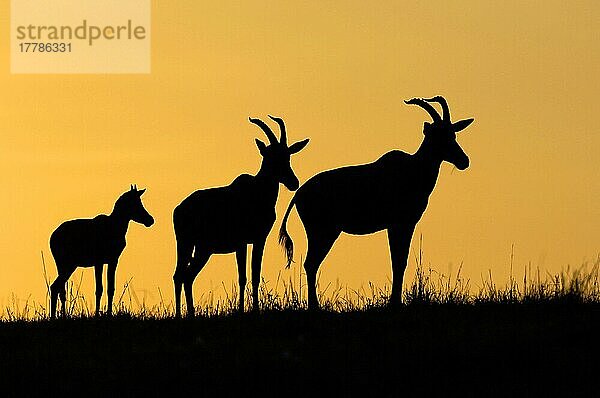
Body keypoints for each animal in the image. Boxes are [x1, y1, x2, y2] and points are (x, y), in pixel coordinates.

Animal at [49, 185, 155, 318]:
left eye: (140, 201)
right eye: (134, 203)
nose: (150, 220)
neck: (116, 227)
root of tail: (52, 238)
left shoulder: (113, 260)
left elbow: (111, 288)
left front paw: (108, 313)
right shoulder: (98, 261)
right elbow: (99, 289)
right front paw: (97, 314)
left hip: (64, 265)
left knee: (59, 288)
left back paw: (61, 315)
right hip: (67, 264)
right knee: (55, 286)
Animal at [172, 115, 310, 318]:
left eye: (288, 155)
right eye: (271, 156)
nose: (294, 182)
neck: (257, 192)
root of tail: (179, 209)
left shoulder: (258, 239)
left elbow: (254, 274)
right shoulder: (243, 242)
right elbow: (244, 276)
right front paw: (245, 310)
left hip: (197, 248)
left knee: (184, 275)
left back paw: (186, 314)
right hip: (191, 245)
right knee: (182, 275)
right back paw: (185, 314)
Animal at [280, 95, 474, 308]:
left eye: (453, 134)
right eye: (437, 135)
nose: (464, 161)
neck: (413, 169)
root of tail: (300, 193)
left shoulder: (400, 225)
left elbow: (399, 261)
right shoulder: (400, 224)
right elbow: (398, 261)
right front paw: (394, 303)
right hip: (323, 232)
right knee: (311, 263)